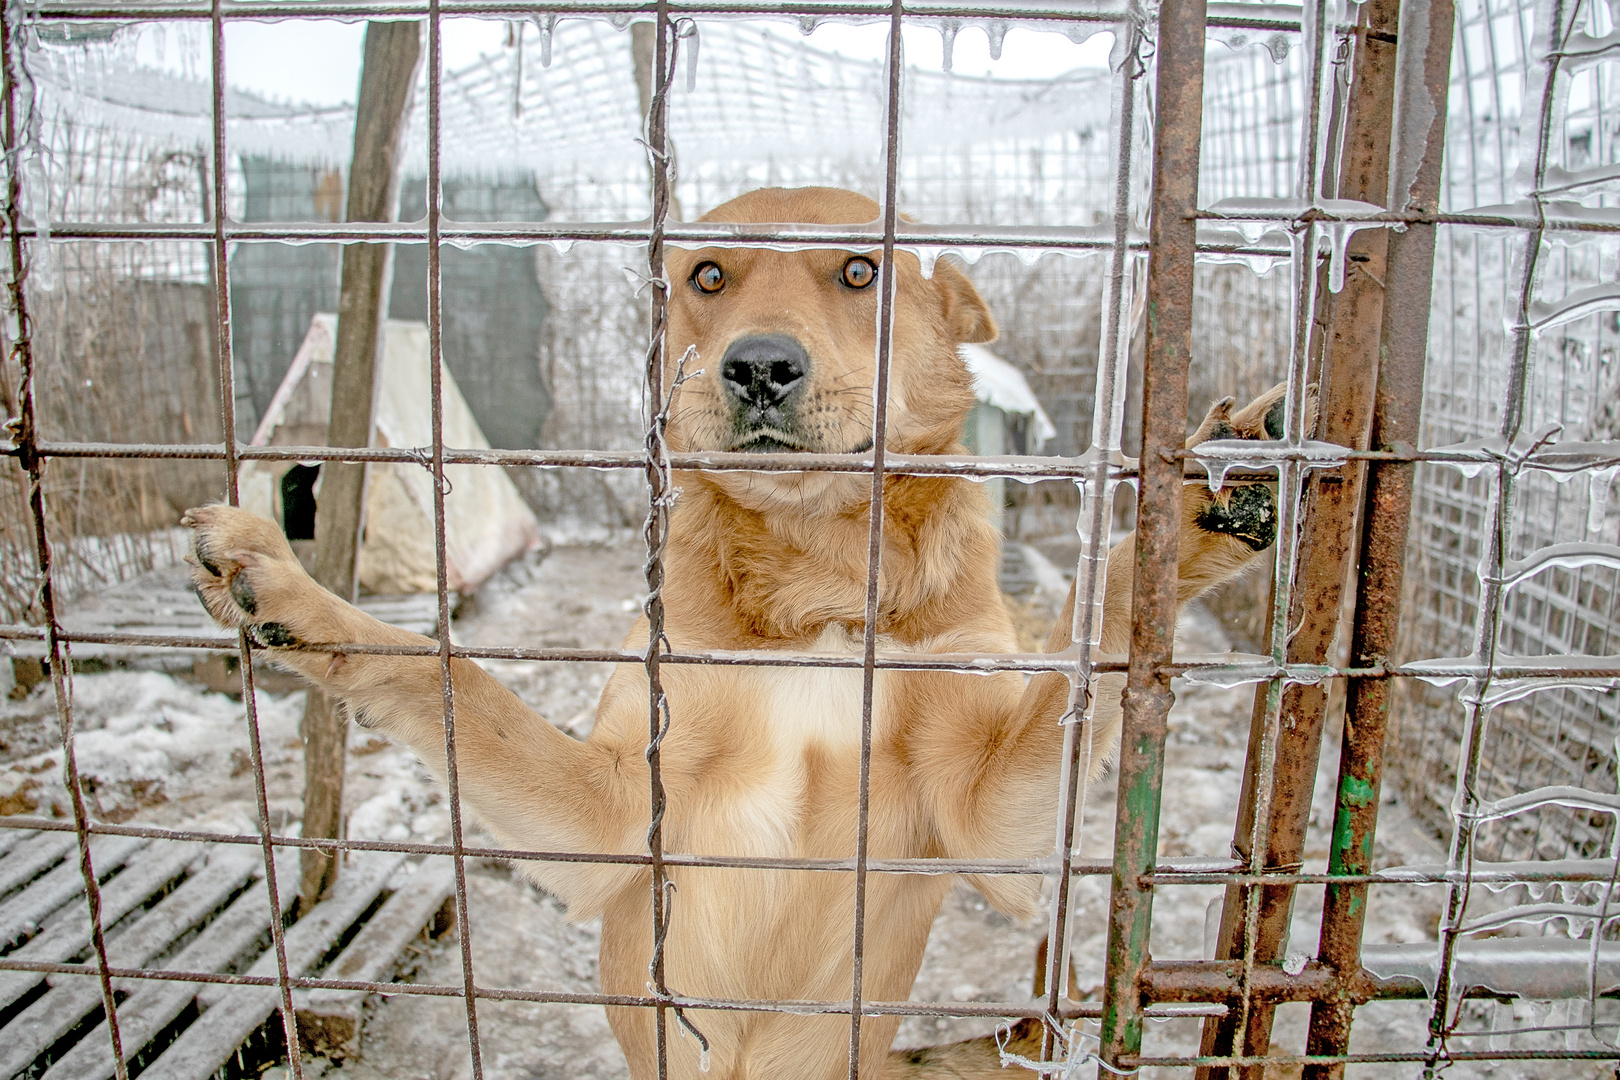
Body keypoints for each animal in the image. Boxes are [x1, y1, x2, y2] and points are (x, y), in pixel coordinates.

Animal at [180, 190, 1289, 1075]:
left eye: (859, 270)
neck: (819, 588)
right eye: (708, 274)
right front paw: (291, 594)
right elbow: (453, 676)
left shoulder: (988, 825)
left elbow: (1087, 647)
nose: (758, 366)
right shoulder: (620, 818)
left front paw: (1197, 514)